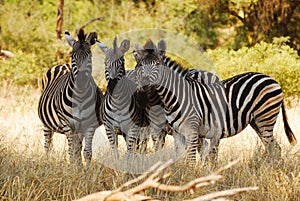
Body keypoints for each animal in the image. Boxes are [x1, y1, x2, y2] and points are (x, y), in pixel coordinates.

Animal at [37, 27, 103, 166]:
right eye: (72, 56)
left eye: (90, 56)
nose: (81, 81)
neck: (80, 97)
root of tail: (63, 64)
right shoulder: (68, 124)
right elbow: (72, 150)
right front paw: (73, 168)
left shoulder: (89, 125)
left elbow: (86, 152)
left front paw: (85, 169)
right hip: (47, 124)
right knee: (47, 144)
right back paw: (47, 162)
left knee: (77, 147)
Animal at [135, 39, 296, 163]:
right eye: (141, 66)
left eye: (157, 65)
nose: (144, 86)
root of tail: (272, 79)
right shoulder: (176, 132)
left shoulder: (191, 130)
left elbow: (190, 159)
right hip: (256, 121)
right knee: (274, 148)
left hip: (265, 118)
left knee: (273, 147)